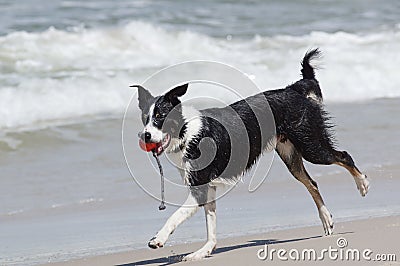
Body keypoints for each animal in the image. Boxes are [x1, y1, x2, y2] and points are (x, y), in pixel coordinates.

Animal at [134, 48, 368, 260]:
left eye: (160, 117)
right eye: (145, 118)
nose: (145, 135)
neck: (186, 131)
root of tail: (293, 89)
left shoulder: (199, 187)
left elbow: (175, 216)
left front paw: (158, 239)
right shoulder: (207, 187)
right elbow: (211, 227)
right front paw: (204, 251)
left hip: (312, 146)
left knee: (344, 156)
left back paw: (362, 183)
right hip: (291, 158)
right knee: (312, 183)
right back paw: (326, 219)